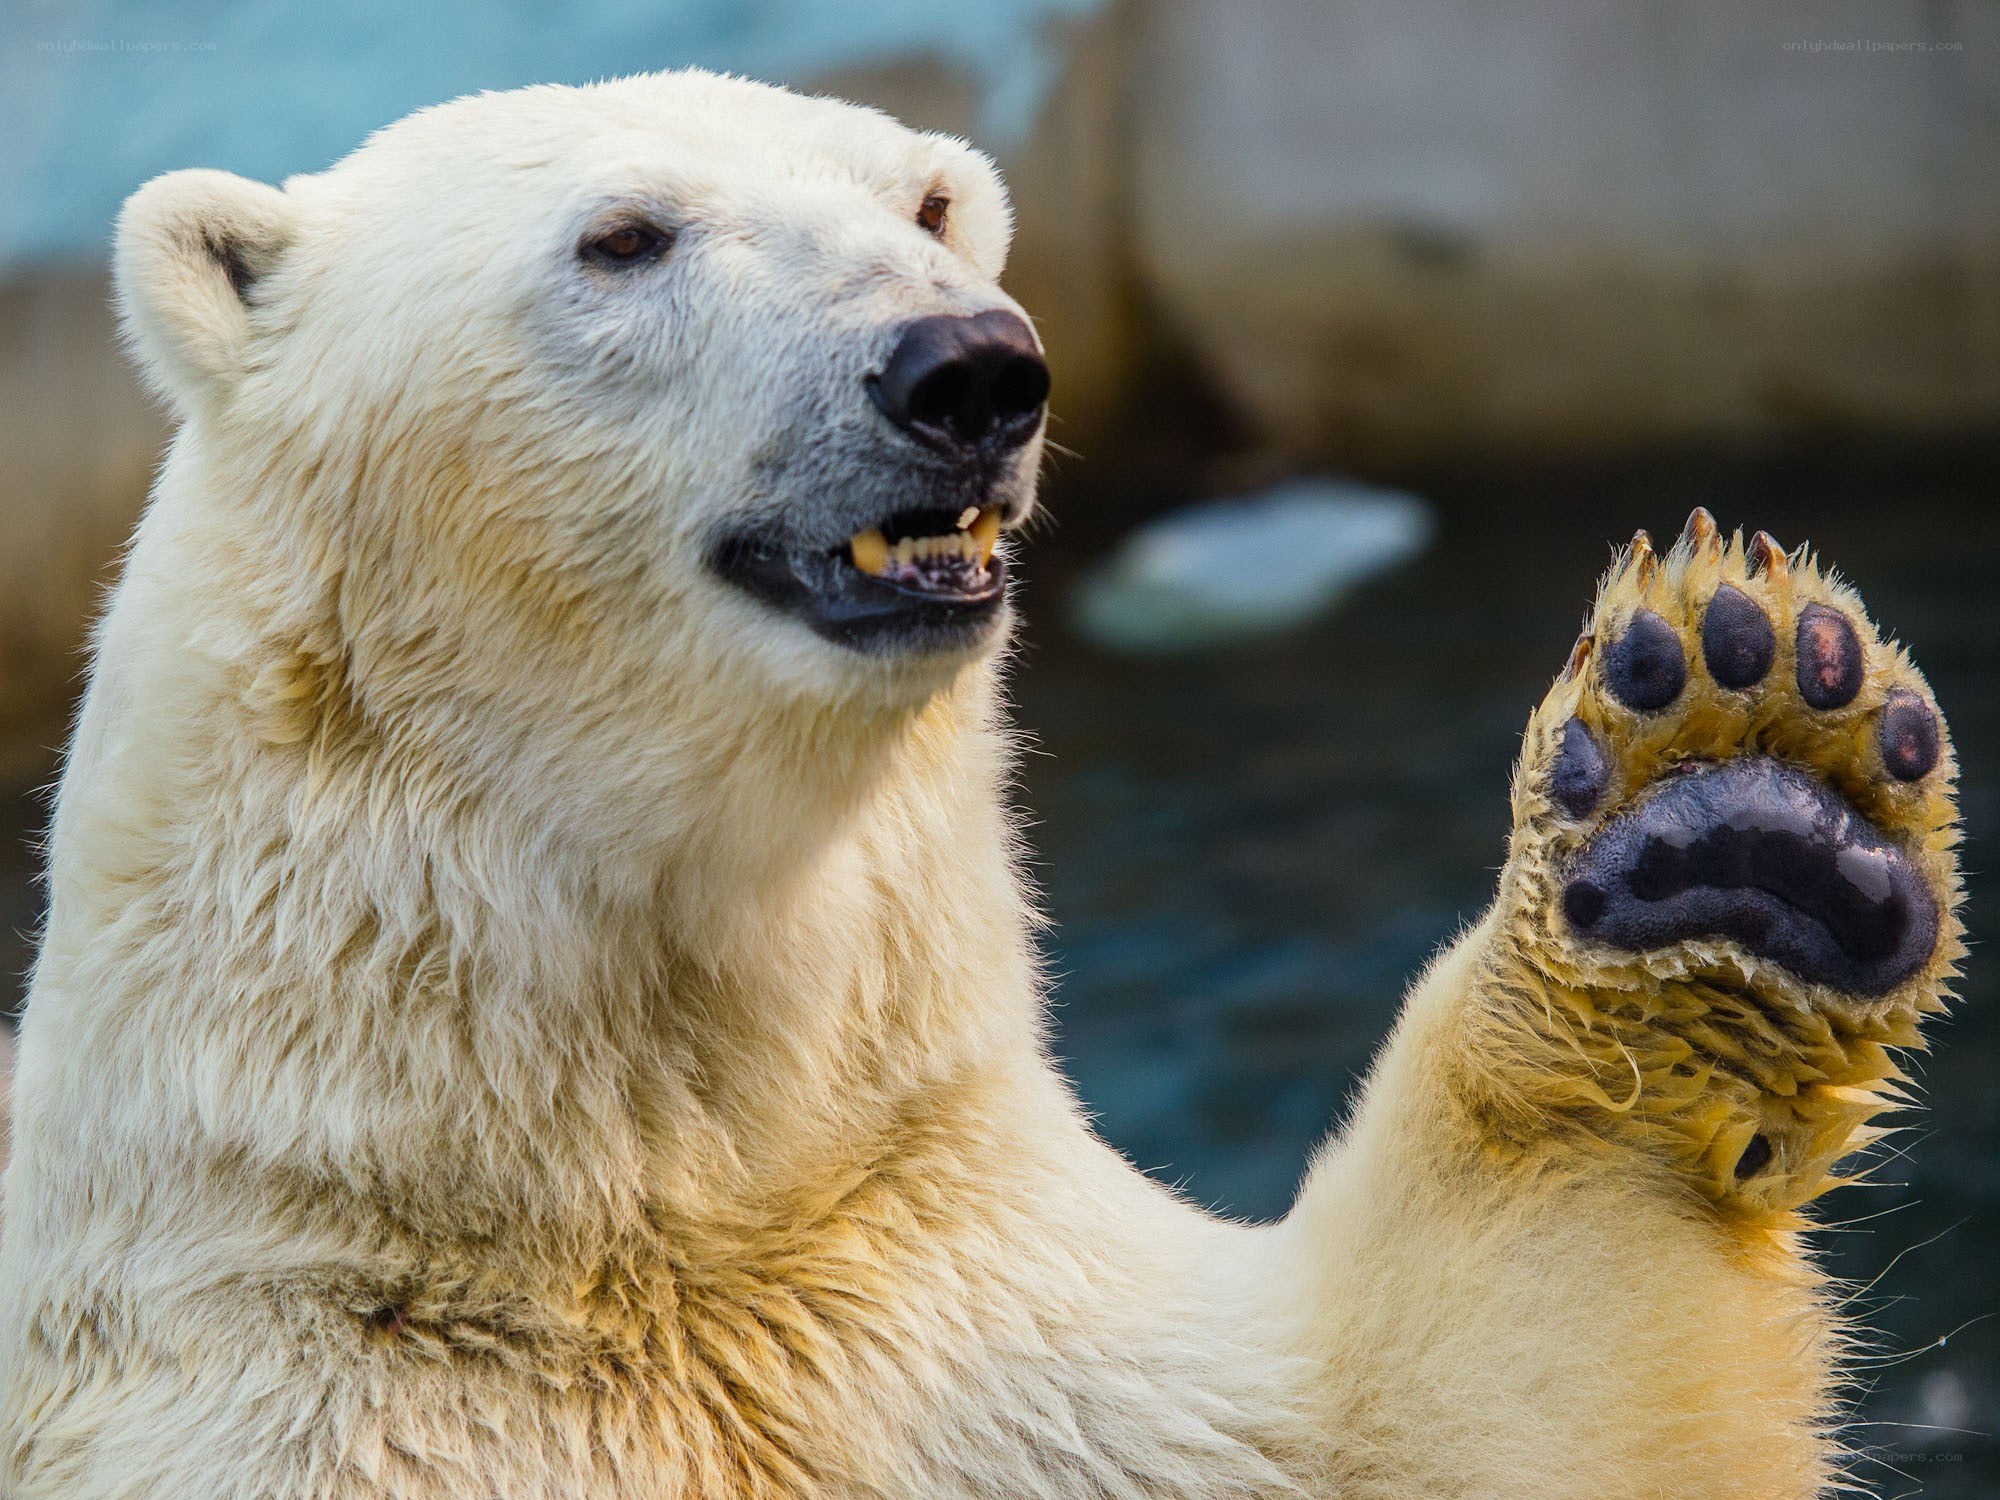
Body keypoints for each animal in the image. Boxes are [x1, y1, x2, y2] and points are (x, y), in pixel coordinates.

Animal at [0, 69, 1964, 1500]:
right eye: (621, 237)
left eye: (921, 203)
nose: (971, 363)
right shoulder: (278, 1405)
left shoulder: (954, 1313)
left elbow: (1462, 1411)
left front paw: (1741, 799)